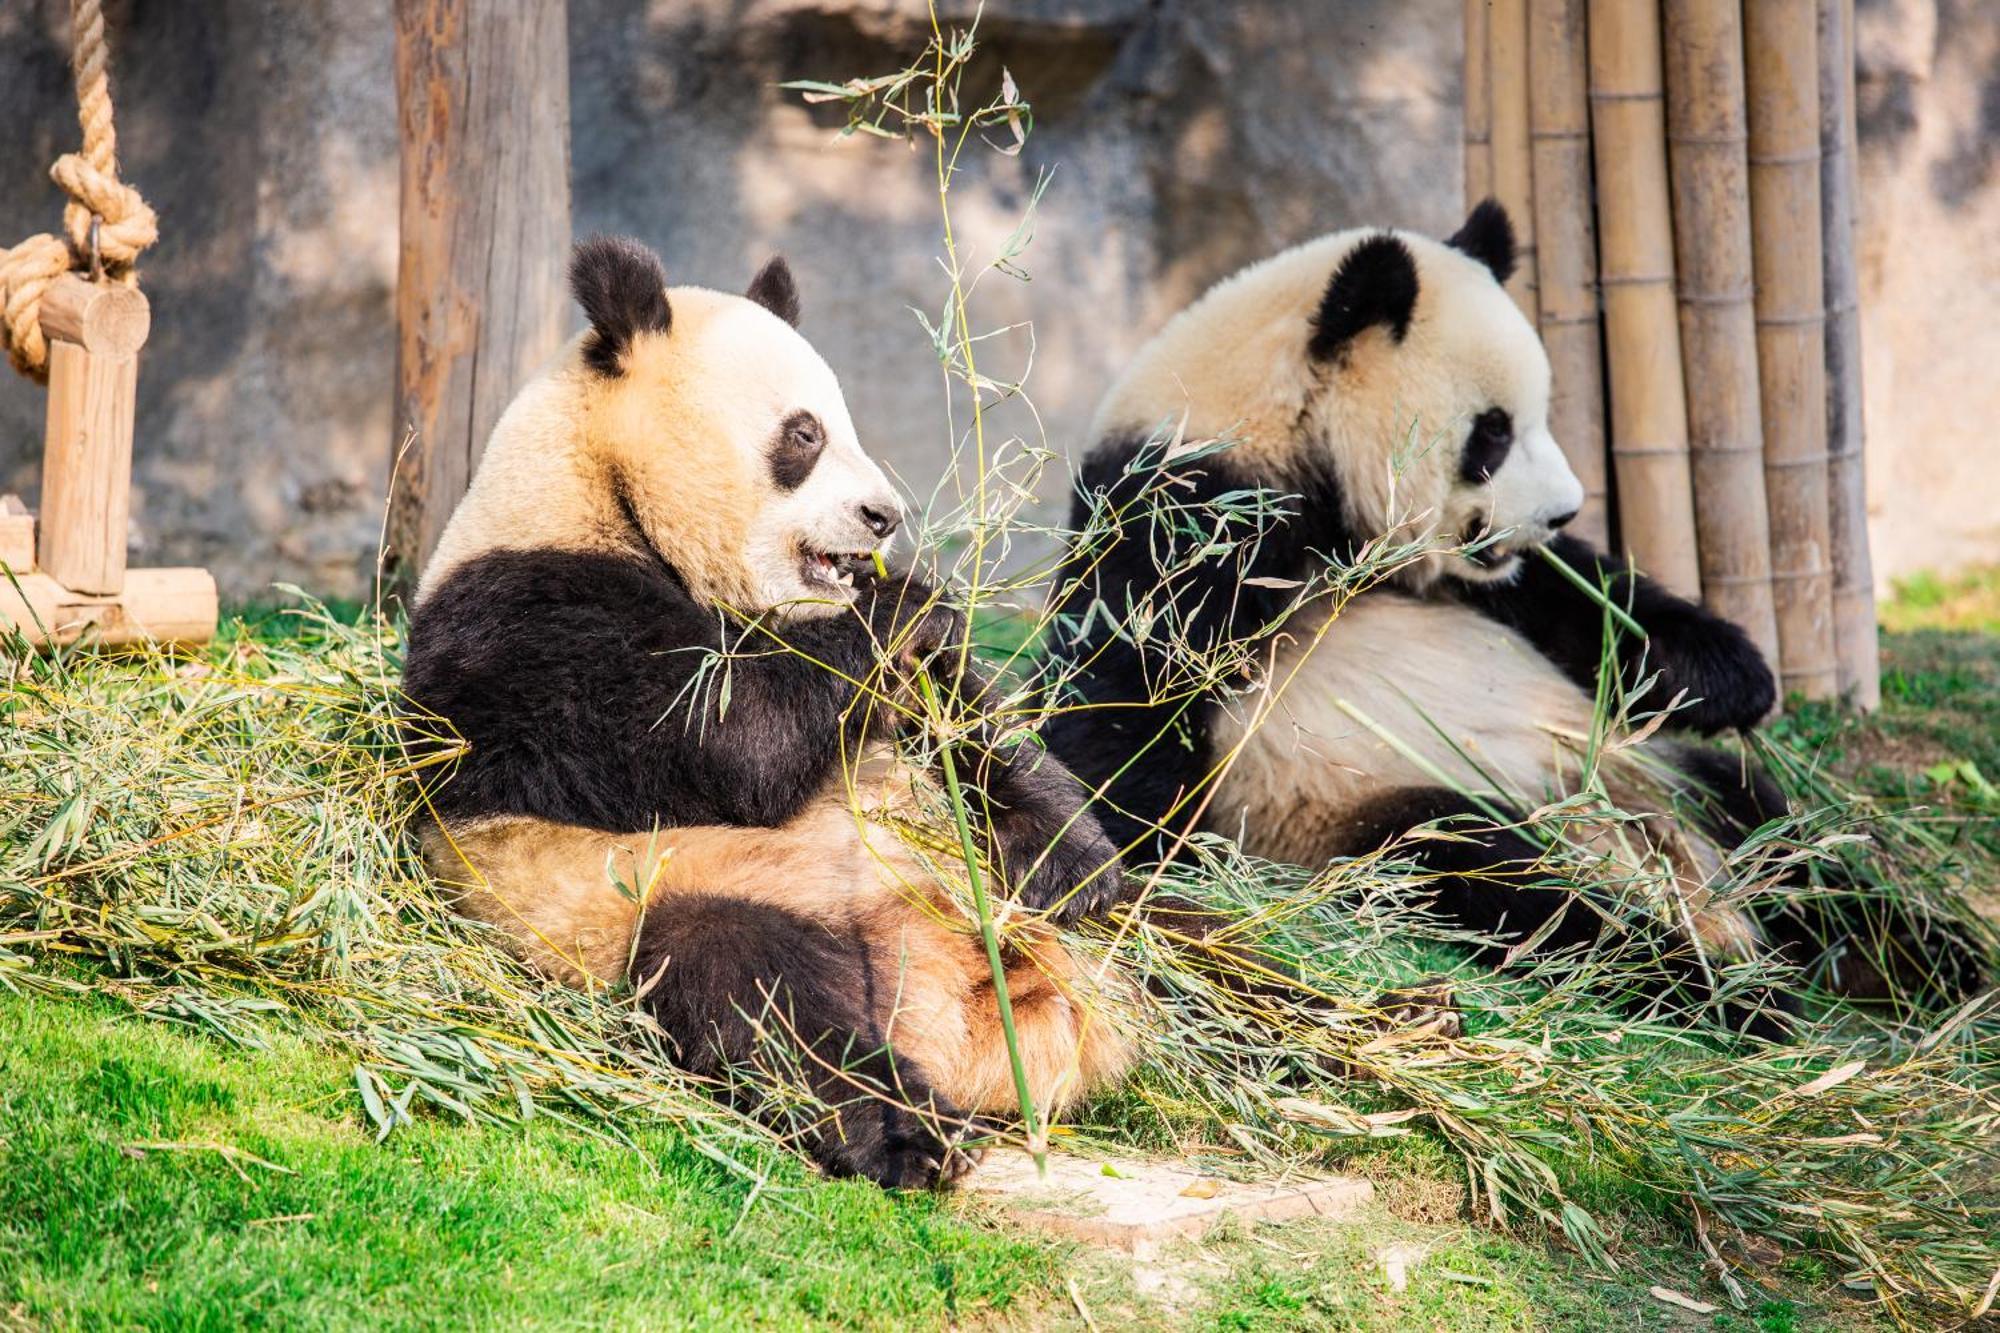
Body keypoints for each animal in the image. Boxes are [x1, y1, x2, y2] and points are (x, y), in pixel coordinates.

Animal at [1048, 202, 1984, 1024]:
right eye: (1492, 433)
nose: (1564, 509)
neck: (1285, 427)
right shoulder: (1189, 513)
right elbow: (1124, 697)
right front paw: (1137, 858)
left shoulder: (1466, 571)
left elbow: (1578, 602)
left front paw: (1730, 674)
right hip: (1369, 807)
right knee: (1510, 881)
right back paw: (1724, 987)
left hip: (1656, 771)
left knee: (1777, 828)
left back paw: (1916, 961)